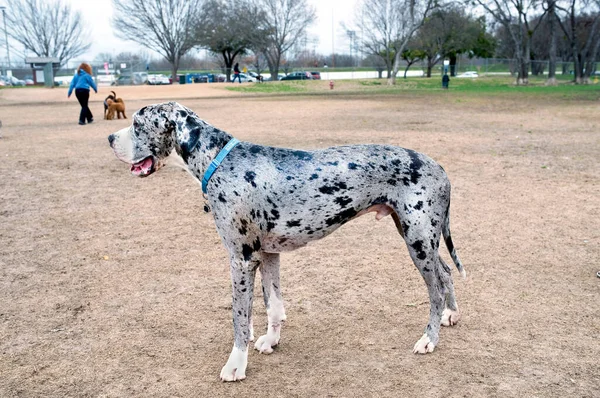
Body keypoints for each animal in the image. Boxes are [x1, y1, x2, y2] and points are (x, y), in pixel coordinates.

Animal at [106, 102, 464, 382]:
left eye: (137, 125)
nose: (109, 137)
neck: (218, 161)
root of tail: (441, 168)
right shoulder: (267, 254)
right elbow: (273, 305)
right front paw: (270, 340)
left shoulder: (241, 259)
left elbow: (240, 318)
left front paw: (236, 364)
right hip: (422, 238)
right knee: (446, 274)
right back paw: (451, 315)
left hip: (418, 242)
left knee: (434, 289)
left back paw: (429, 339)